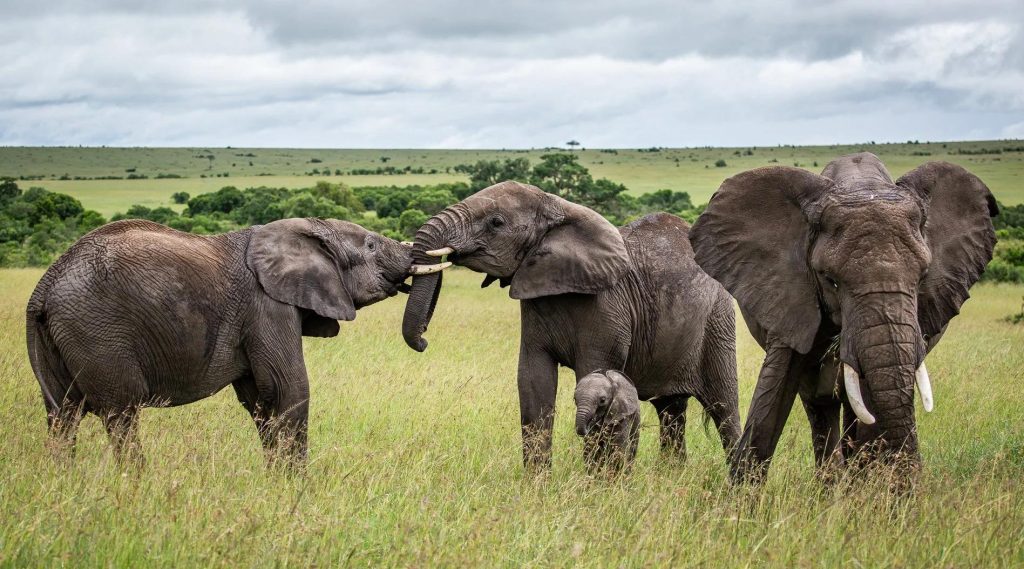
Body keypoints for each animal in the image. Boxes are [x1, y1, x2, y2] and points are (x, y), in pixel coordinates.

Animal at [26, 217, 438, 465]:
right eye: (370, 246)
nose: (423, 342)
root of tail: (44, 286)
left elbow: (260, 400)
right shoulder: (266, 305)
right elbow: (288, 389)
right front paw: (297, 491)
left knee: (62, 417)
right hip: (96, 333)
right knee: (121, 415)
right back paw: (134, 486)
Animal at [401, 181, 741, 470]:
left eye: (496, 223)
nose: (423, 340)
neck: (559, 207)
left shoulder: (607, 306)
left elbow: (592, 373)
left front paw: (593, 483)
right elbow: (532, 379)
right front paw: (537, 485)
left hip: (718, 321)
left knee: (724, 406)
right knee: (671, 410)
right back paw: (672, 475)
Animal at [689, 153, 998, 485]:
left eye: (923, 277)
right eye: (830, 280)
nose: (913, 484)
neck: (862, 186)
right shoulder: (789, 296)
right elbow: (773, 394)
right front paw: (742, 497)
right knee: (819, 404)